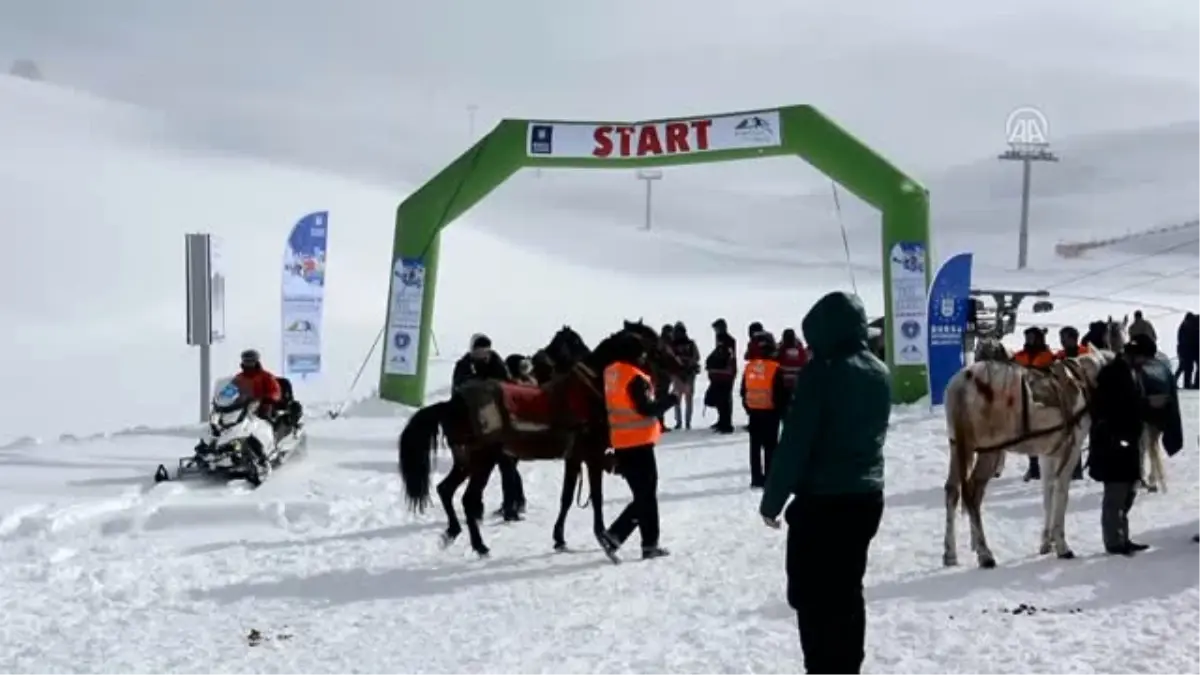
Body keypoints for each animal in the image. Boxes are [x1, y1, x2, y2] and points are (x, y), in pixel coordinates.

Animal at [400, 319, 686, 557]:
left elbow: (567, 497)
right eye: (655, 341)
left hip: (466, 460)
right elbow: (596, 498)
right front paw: (604, 538)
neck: (589, 392)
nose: (682, 366)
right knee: (468, 500)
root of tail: (454, 403)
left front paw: (560, 539)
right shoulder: (592, 456)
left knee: (445, 490)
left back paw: (452, 532)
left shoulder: (574, 458)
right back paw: (480, 546)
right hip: (483, 460)